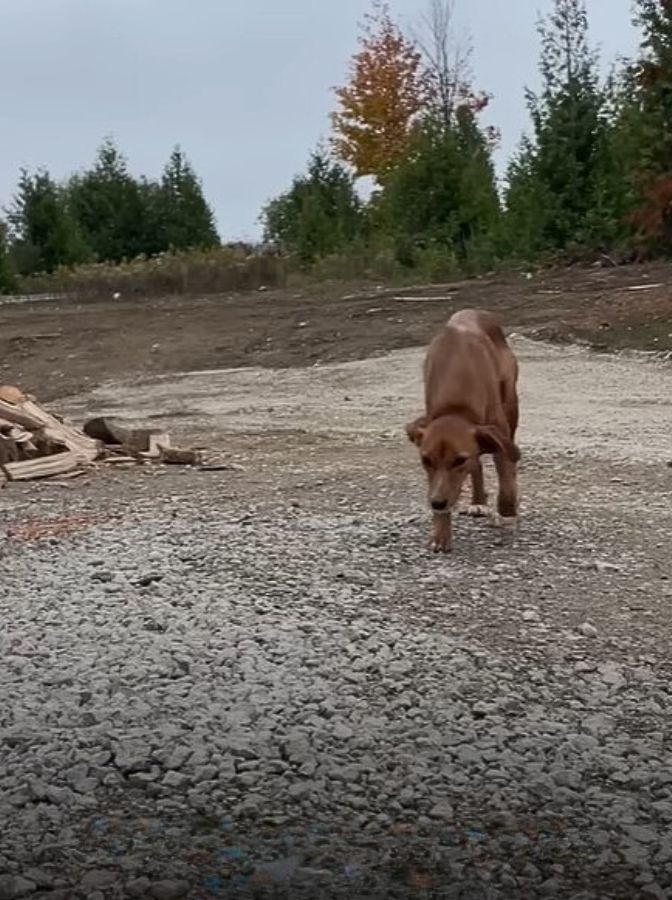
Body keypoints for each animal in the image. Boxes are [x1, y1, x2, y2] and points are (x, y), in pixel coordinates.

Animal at [404, 310, 520, 552]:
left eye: (458, 461)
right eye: (425, 460)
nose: (437, 503)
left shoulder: (499, 433)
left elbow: (506, 480)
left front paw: (507, 514)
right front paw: (440, 532)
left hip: (512, 405)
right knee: (477, 466)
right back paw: (477, 502)